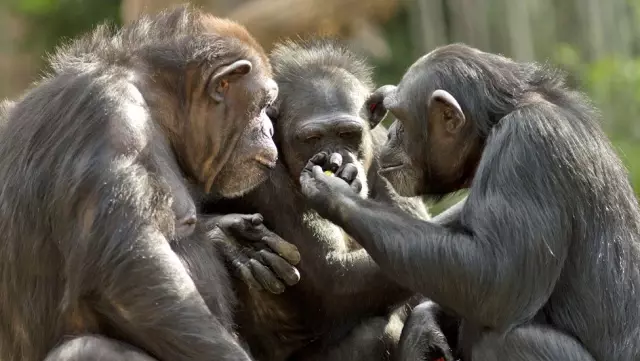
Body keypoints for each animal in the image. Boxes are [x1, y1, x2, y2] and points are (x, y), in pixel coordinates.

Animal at [0, 6, 300, 360]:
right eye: (264, 104)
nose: (269, 128)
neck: (156, 103)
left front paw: (232, 239)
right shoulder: (112, 119)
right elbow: (133, 273)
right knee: (87, 348)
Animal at [205, 38, 436, 360]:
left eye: (348, 133)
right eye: (312, 138)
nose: (335, 160)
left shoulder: (387, 149)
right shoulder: (261, 177)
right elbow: (332, 276)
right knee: (374, 332)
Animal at [298, 43, 640, 360]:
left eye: (400, 117)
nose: (391, 133)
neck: (494, 124)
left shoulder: (527, 145)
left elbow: (497, 275)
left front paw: (333, 191)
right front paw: (425, 327)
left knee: (509, 339)